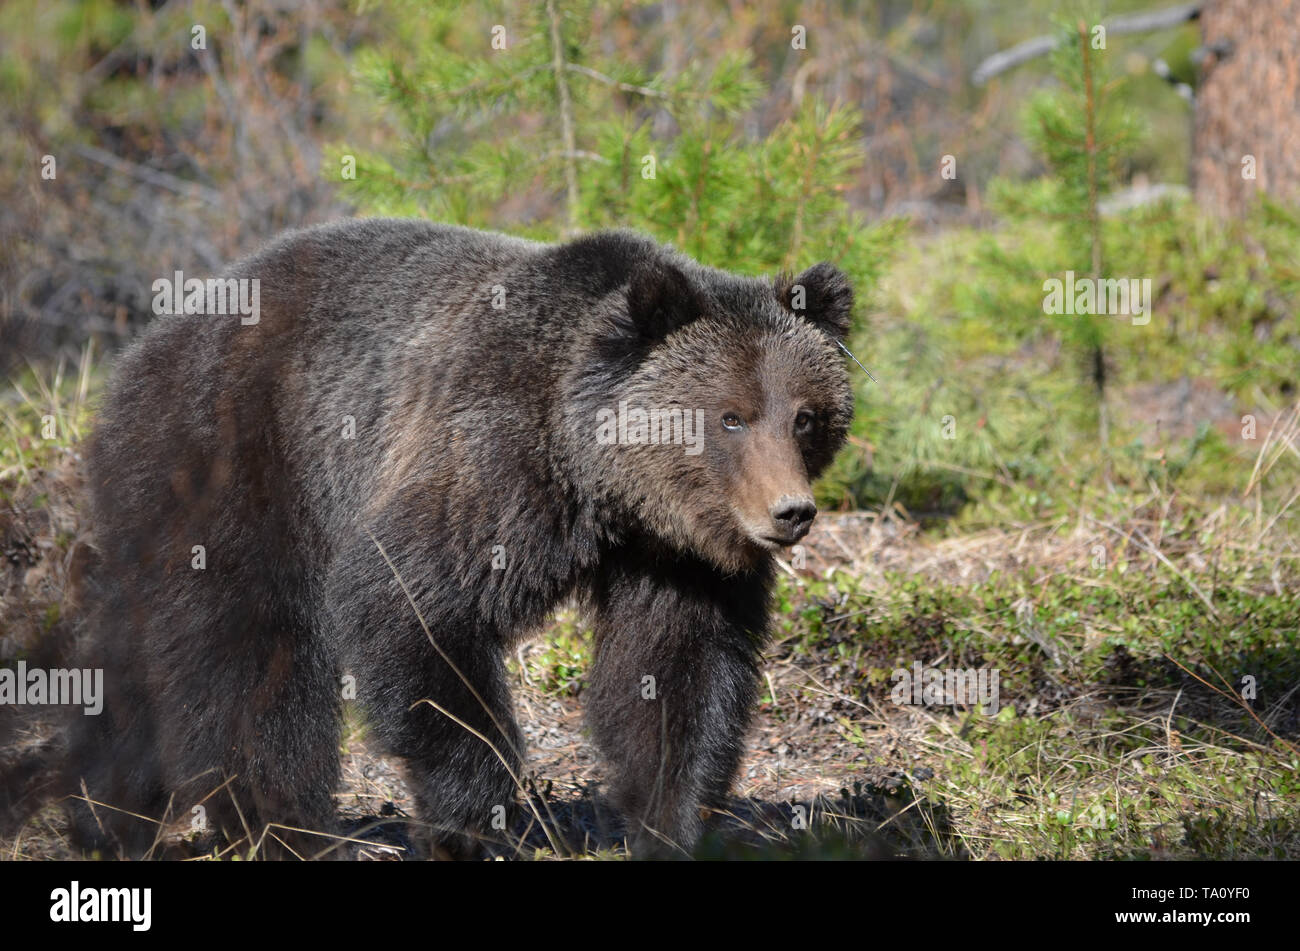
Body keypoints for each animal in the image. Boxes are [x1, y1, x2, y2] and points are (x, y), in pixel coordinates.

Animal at [65, 219, 857, 857]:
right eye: (731, 416)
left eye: (806, 416)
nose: (791, 511)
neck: (603, 483)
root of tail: (144, 347)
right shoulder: (494, 464)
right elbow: (410, 603)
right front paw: (475, 819)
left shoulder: (677, 557)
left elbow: (676, 667)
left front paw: (673, 822)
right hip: (239, 460)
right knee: (249, 653)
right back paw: (280, 824)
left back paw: (108, 811)